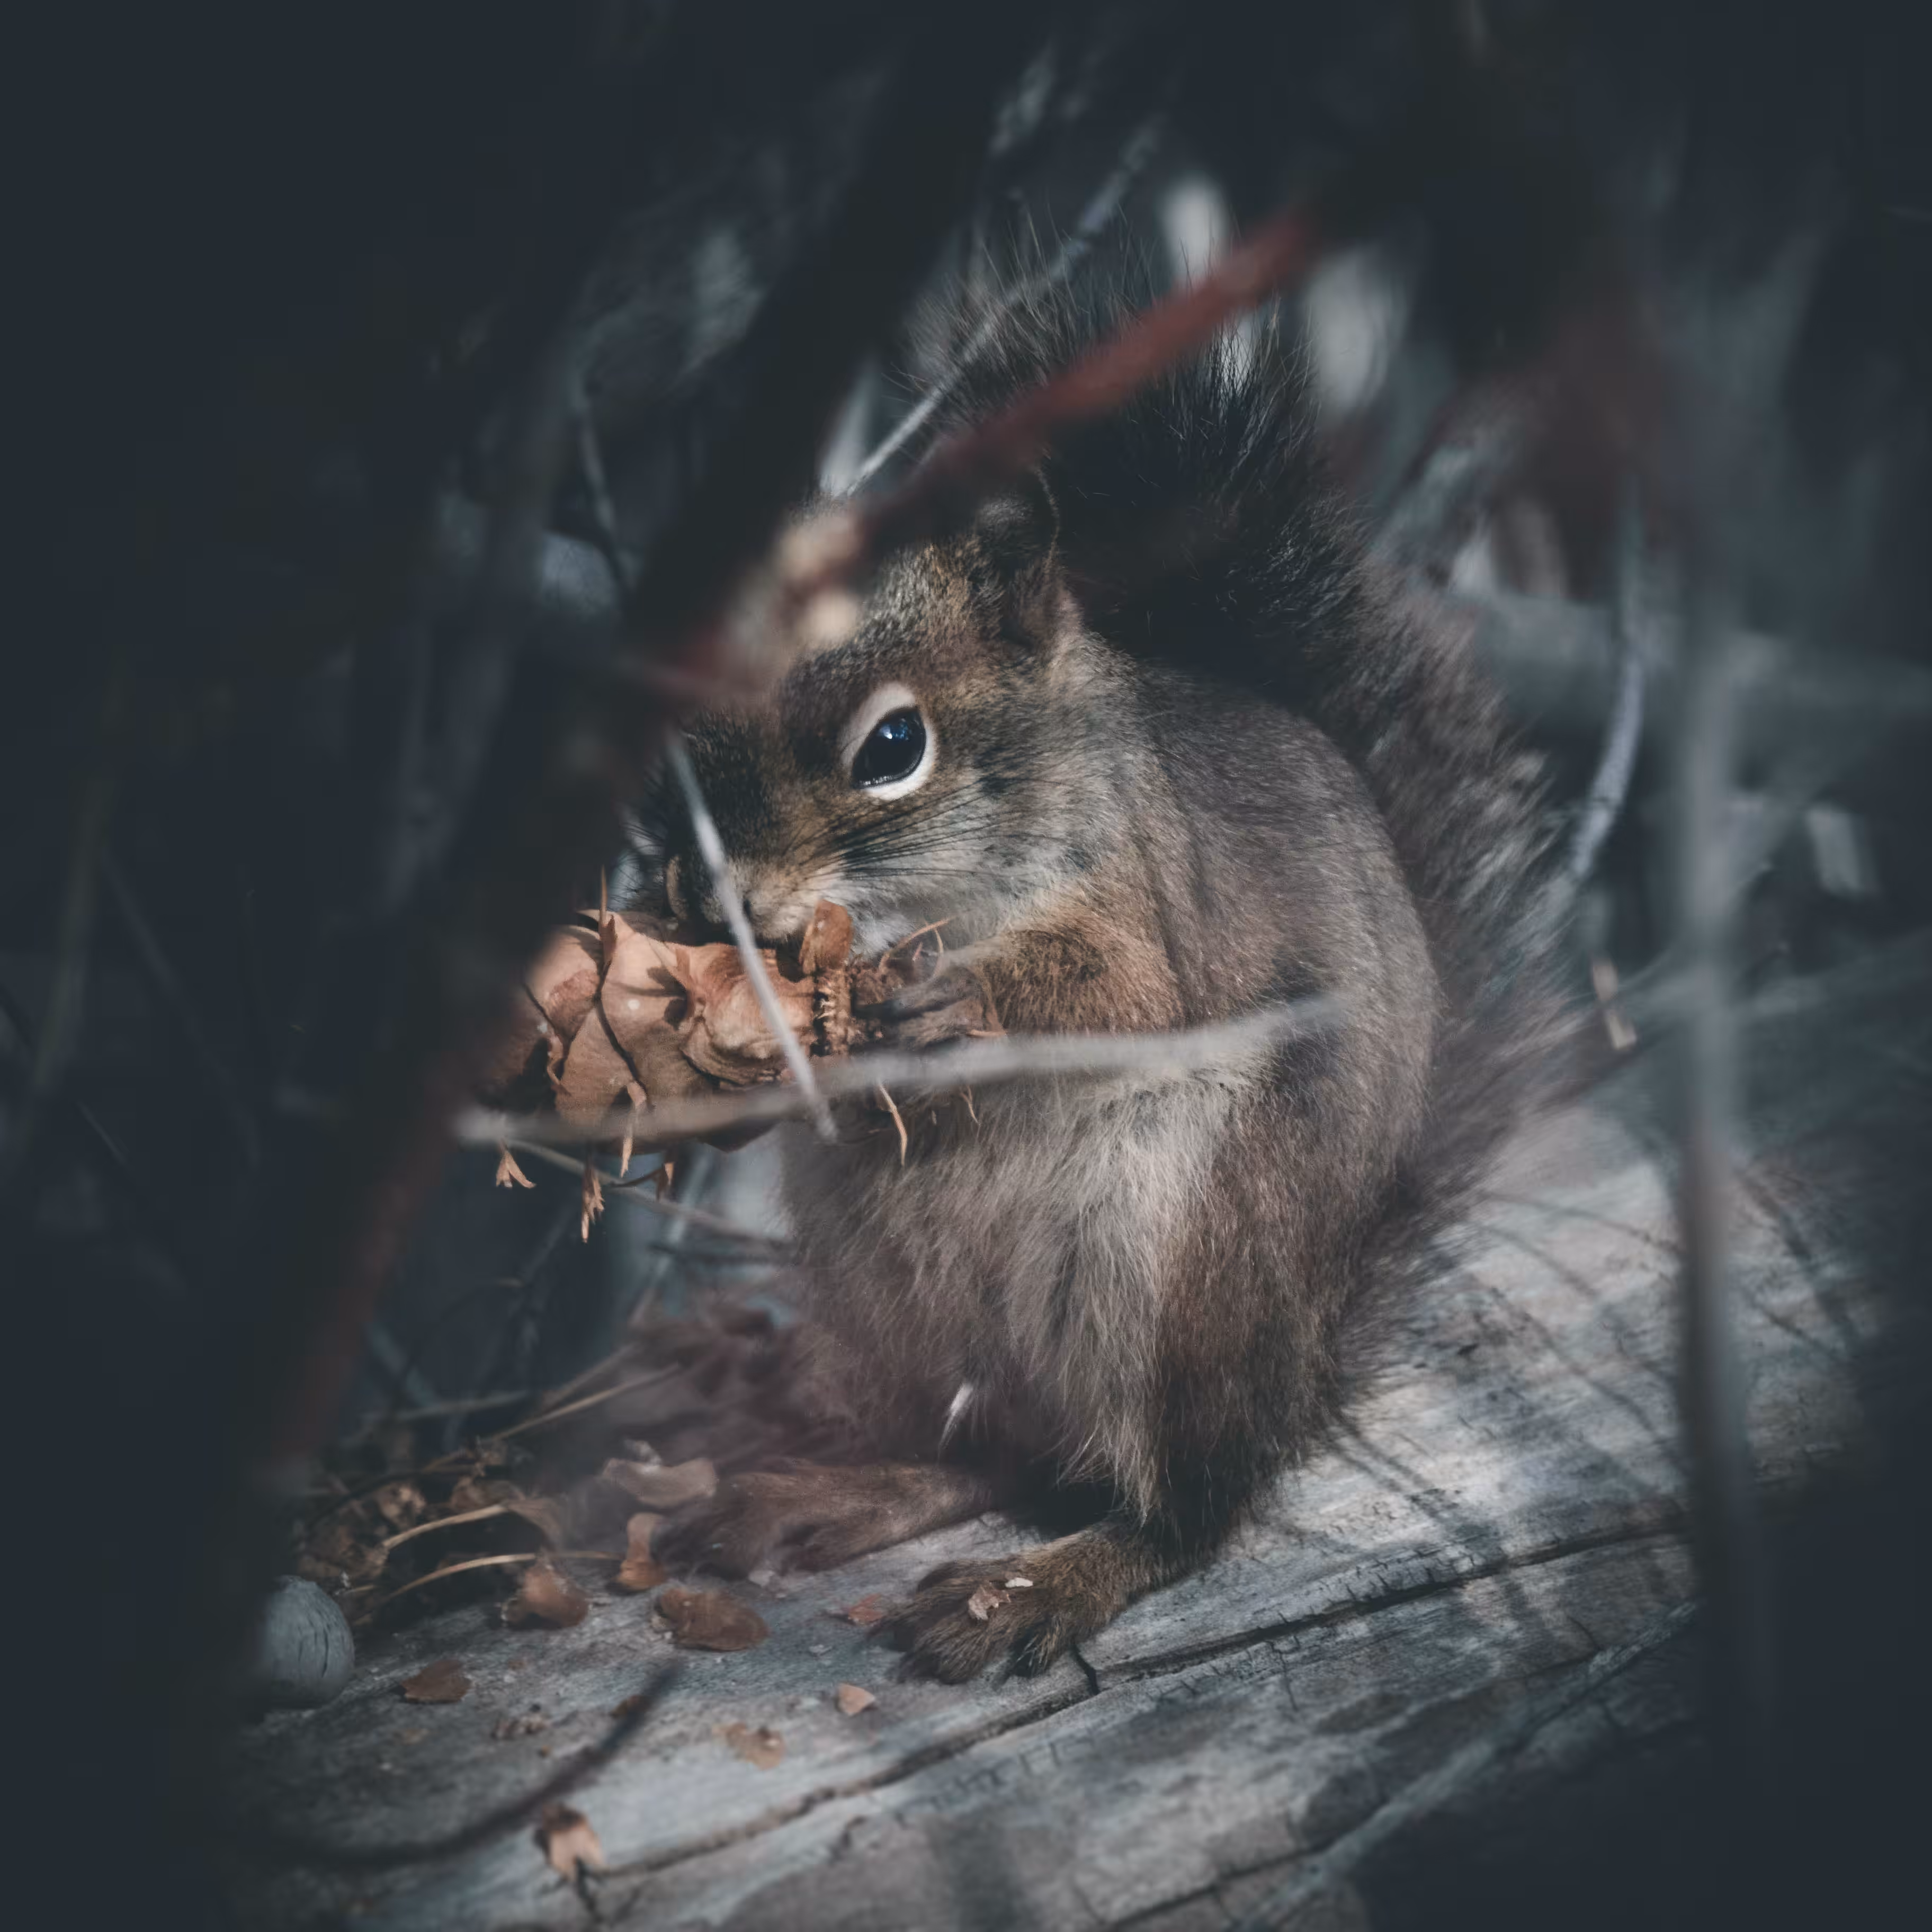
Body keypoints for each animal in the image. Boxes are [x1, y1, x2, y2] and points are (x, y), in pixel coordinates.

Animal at [637, 281, 1558, 1681]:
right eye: (679, 748)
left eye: (893, 745)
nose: (716, 898)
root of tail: (1308, 1342)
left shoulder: (1157, 900)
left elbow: (1125, 995)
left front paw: (960, 1005)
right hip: (889, 1297)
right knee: (987, 1454)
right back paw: (844, 1494)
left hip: (1172, 1261)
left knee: (1183, 1509)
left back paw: (1038, 1587)